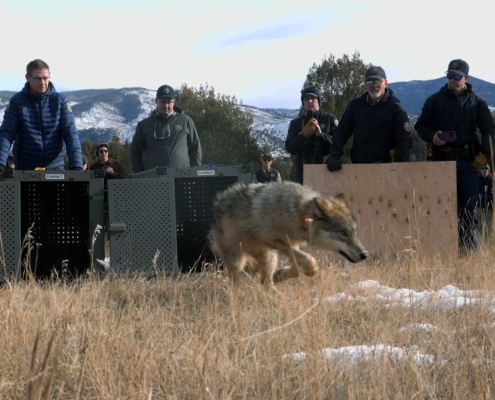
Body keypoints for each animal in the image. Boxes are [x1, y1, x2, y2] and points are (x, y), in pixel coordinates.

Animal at [209, 181, 368, 288]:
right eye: (343, 233)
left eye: (354, 232)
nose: (365, 254)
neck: (299, 213)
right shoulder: (276, 241)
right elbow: (309, 260)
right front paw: (311, 270)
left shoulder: (292, 244)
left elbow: (298, 267)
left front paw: (280, 275)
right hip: (238, 261)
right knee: (235, 281)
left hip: (270, 258)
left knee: (266, 283)